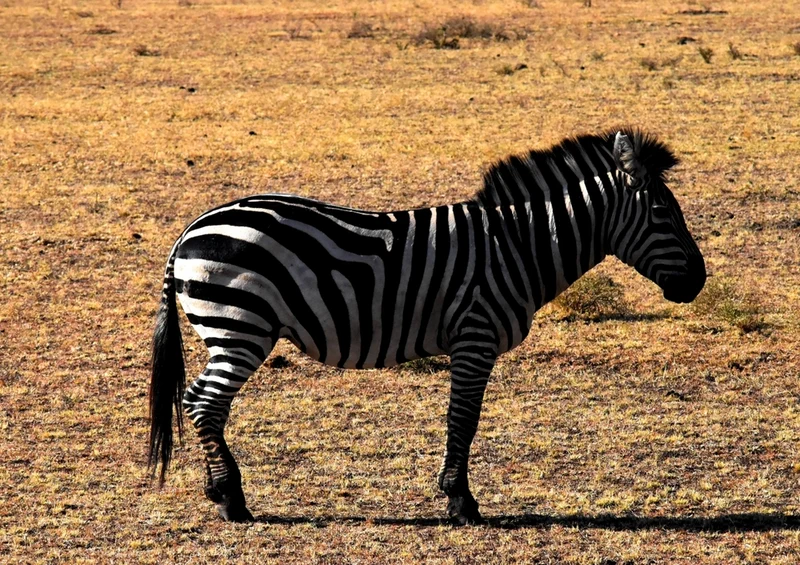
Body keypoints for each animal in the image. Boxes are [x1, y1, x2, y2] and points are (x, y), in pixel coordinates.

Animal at [148, 129, 706, 525]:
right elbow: (464, 419)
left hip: (234, 330)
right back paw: (231, 500)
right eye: (663, 212)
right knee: (204, 403)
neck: (519, 245)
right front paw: (461, 502)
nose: (699, 282)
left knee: (200, 403)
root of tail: (189, 230)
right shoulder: (475, 338)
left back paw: (222, 493)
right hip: (239, 327)